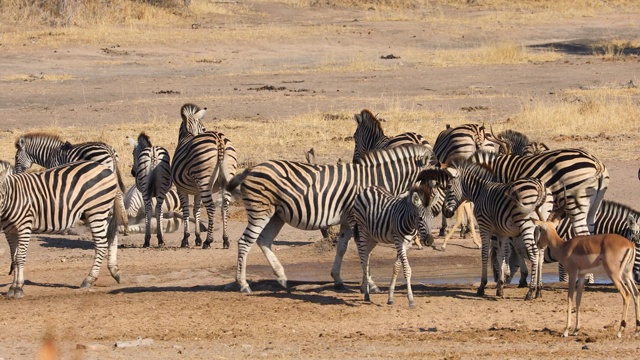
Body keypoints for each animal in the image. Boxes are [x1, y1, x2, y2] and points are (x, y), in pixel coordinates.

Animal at [0, 160, 123, 298]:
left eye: (0, 194)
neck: (12, 197)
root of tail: (105, 167)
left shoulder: (24, 227)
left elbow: (20, 257)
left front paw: (19, 288)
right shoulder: (9, 231)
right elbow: (14, 258)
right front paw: (12, 287)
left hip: (96, 210)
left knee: (101, 243)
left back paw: (89, 279)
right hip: (91, 213)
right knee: (111, 235)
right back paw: (114, 271)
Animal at [170, 102, 238, 249]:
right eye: (204, 128)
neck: (189, 134)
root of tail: (219, 139)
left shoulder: (181, 189)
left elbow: (186, 210)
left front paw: (186, 238)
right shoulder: (197, 191)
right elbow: (196, 210)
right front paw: (197, 237)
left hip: (204, 180)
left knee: (211, 207)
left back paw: (208, 241)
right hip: (227, 176)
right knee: (225, 206)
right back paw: (225, 240)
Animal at [225, 143, 430, 292]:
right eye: (434, 173)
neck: (376, 179)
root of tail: (252, 168)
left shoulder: (347, 219)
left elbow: (342, 248)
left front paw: (338, 279)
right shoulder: (358, 219)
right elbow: (364, 250)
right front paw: (370, 284)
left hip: (276, 215)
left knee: (264, 240)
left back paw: (281, 278)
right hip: (260, 211)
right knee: (245, 241)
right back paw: (243, 284)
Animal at [422, 159, 552, 300]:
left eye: (449, 187)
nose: (446, 212)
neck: (479, 192)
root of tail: (539, 185)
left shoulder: (485, 227)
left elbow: (484, 253)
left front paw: (482, 286)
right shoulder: (501, 232)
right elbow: (501, 255)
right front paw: (500, 287)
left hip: (526, 224)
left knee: (534, 252)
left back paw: (530, 291)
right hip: (540, 226)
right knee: (540, 252)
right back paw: (538, 290)